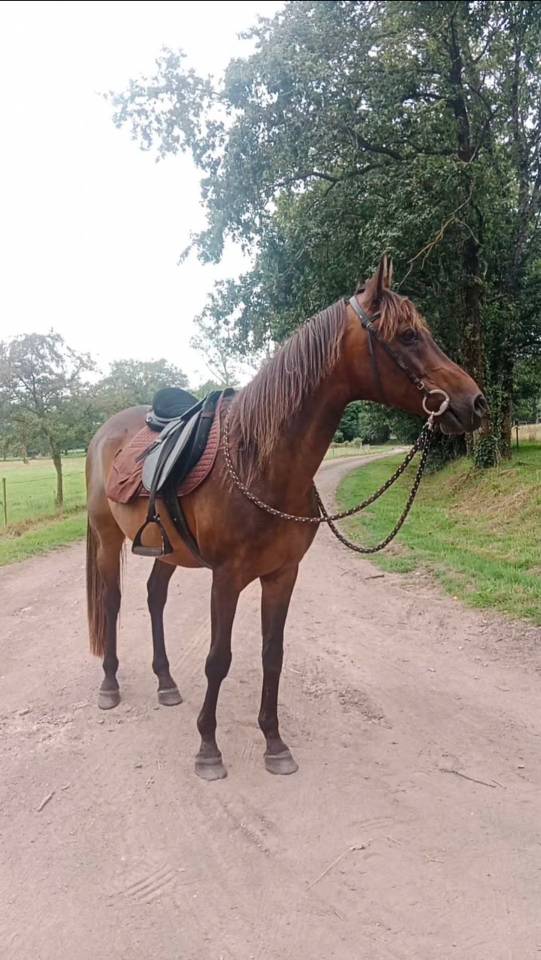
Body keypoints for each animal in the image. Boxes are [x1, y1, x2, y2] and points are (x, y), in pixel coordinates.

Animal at [86, 255, 487, 780]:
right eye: (407, 336)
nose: (474, 403)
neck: (258, 462)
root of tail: (105, 431)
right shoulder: (227, 578)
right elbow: (218, 659)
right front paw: (208, 748)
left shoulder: (282, 575)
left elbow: (272, 655)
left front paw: (274, 743)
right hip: (109, 538)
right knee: (113, 602)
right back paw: (110, 686)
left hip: (166, 550)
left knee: (155, 598)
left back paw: (166, 683)